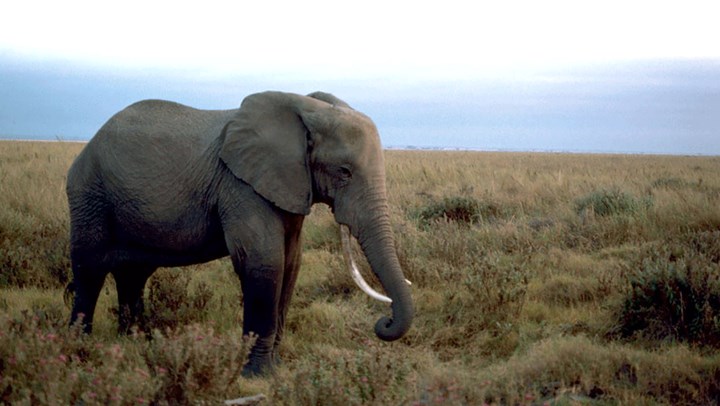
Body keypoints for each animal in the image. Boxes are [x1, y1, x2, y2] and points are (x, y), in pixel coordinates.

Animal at [67, 90, 416, 376]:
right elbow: (266, 262)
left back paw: (134, 345)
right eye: (344, 172)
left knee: (133, 274)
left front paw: (275, 369)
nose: (384, 323)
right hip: (90, 195)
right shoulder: (241, 186)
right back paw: (79, 349)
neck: (306, 109)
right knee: (90, 269)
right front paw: (257, 375)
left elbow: (291, 265)